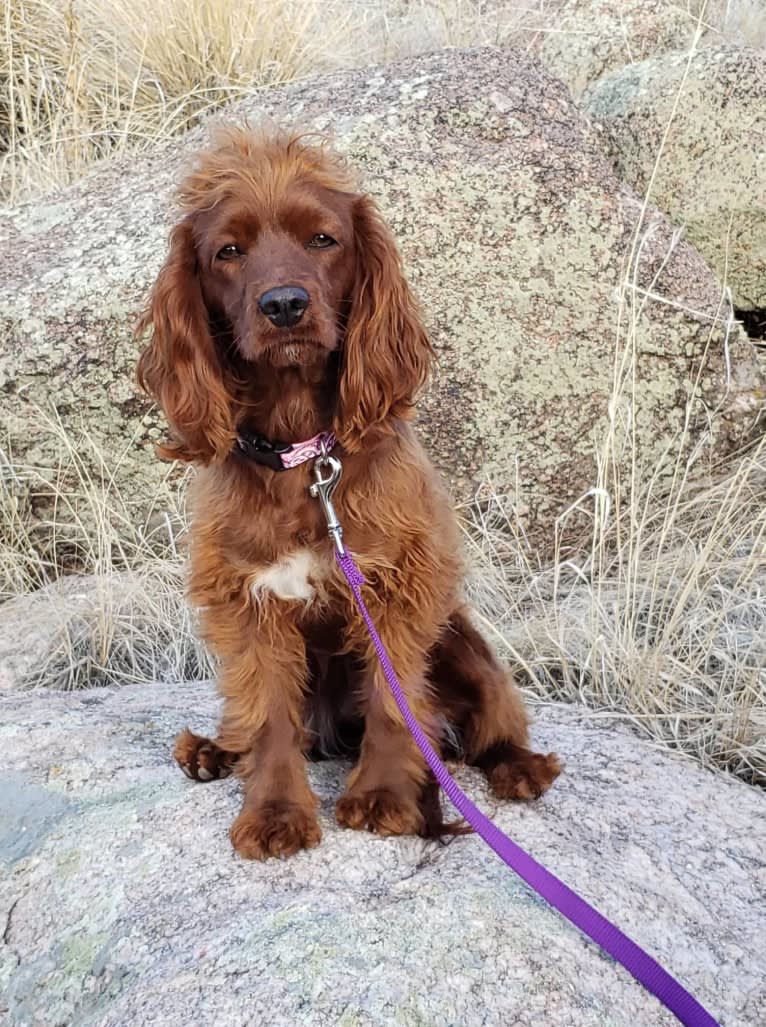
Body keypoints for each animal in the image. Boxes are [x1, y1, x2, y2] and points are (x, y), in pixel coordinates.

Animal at [135, 130, 554, 866]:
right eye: (228, 251)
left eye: (324, 239)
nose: (284, 306)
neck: (305, 455)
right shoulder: (248, 600)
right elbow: (269, 715)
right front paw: (274, 812)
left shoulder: (399, 586)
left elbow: (394, 699)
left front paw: (384, 796)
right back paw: (213, 750)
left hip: (462, 639)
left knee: (489, 720)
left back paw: (519, 766)